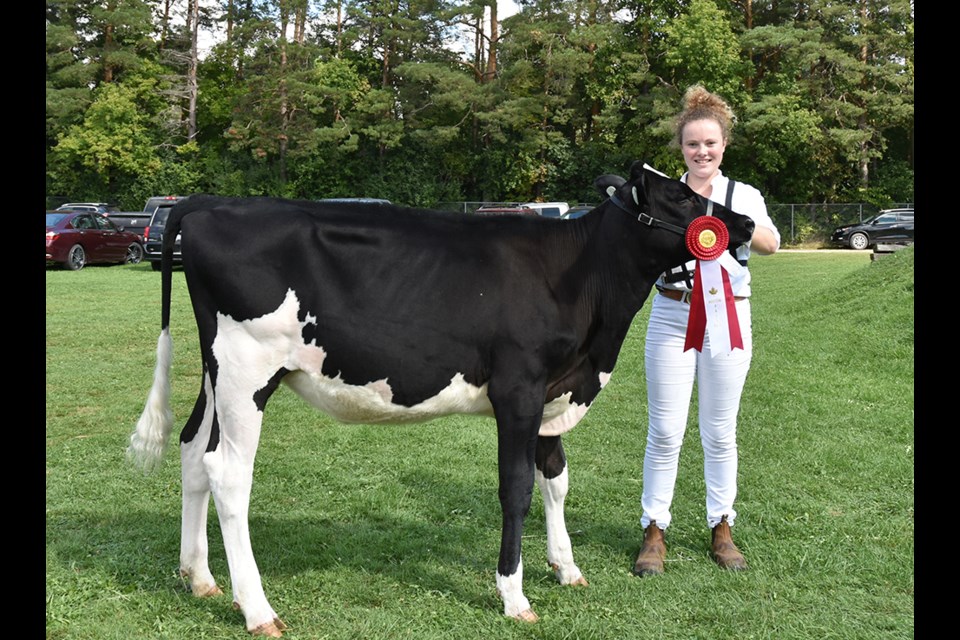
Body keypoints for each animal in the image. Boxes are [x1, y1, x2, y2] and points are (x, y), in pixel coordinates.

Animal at [129, 161, 756, 636]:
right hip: (247, 369)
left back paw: (201, 578)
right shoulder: (520, 389)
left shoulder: (554, 393)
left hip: (218, 371)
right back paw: (257, 609)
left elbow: (556, 480)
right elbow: (517, 489)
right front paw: (514, 596)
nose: (746, 220)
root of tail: (209, 204)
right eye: (681, 194)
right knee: (229, 473)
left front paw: (567, 568)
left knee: (193, 451)